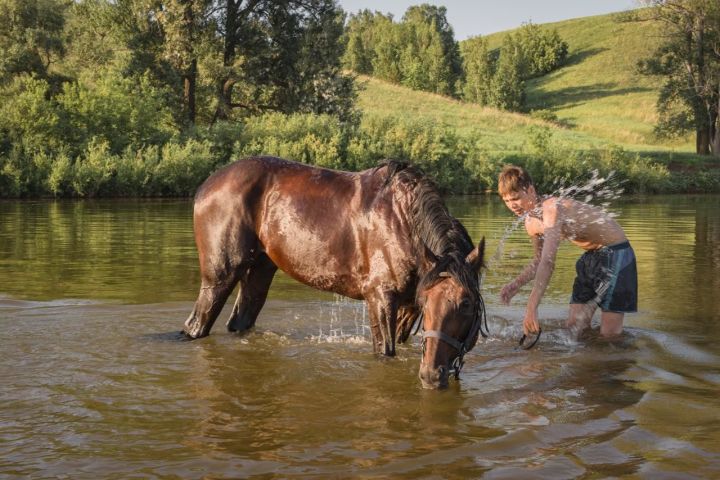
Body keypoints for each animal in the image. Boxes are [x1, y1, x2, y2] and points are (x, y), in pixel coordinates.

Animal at [183, 156, 486, 388]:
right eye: (427, 302)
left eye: (467, 304)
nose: (432, 375)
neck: (404, 221)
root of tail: (206, 186)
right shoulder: (380, 298)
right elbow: (385, 352)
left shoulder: (406, 307)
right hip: (220, 275)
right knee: (196, 325)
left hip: (259, 270)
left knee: (240, 322)